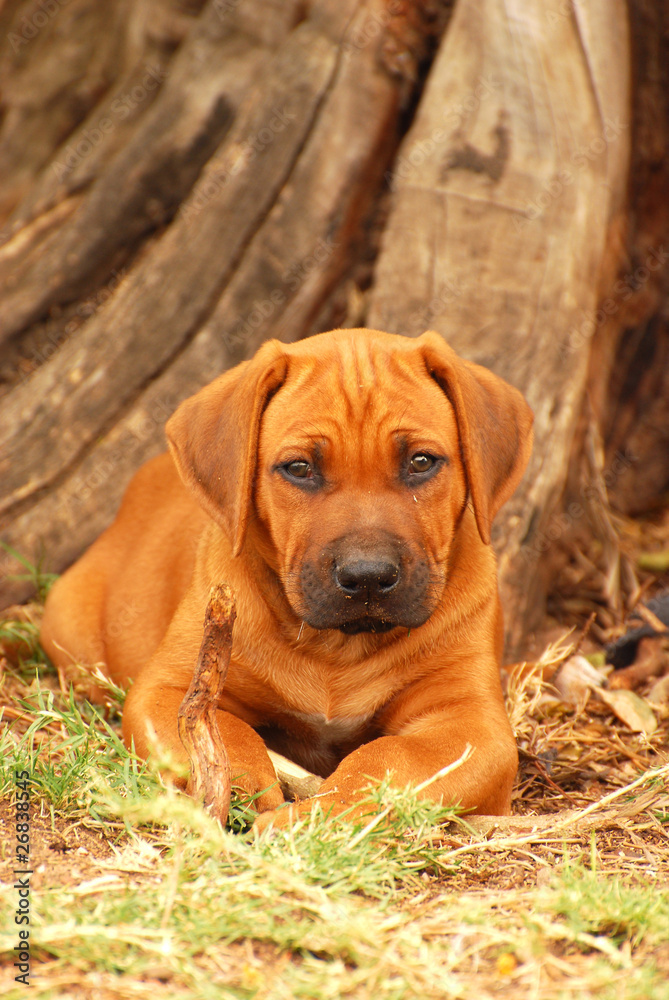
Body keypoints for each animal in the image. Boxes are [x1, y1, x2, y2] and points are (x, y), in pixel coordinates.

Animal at [40, 332, 532, 824]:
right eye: (299, 468)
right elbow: (229, 737)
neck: (337, 648)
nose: (368, 576)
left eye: (421, 462)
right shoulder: (168, 689)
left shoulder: (471, 721)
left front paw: (315, 814)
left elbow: (389, 758)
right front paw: (250, 794)